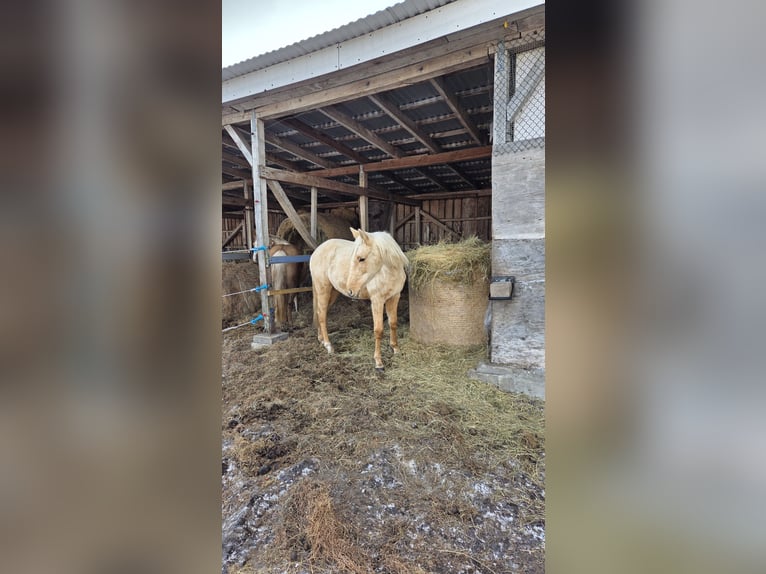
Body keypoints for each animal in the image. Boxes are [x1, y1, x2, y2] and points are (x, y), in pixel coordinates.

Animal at [310, 228, 409, 371]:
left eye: (361, 259)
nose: (351, 290)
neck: (389, 272)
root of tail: (317, 250)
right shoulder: (377, 301)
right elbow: (378, 330)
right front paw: (378, 362)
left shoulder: (394, 297)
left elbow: (393, 323)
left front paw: (395, 349)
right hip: (323, 290)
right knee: (322, 315)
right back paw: (328, 346)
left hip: (332, 292)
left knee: (319, 312)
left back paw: (321, 339)